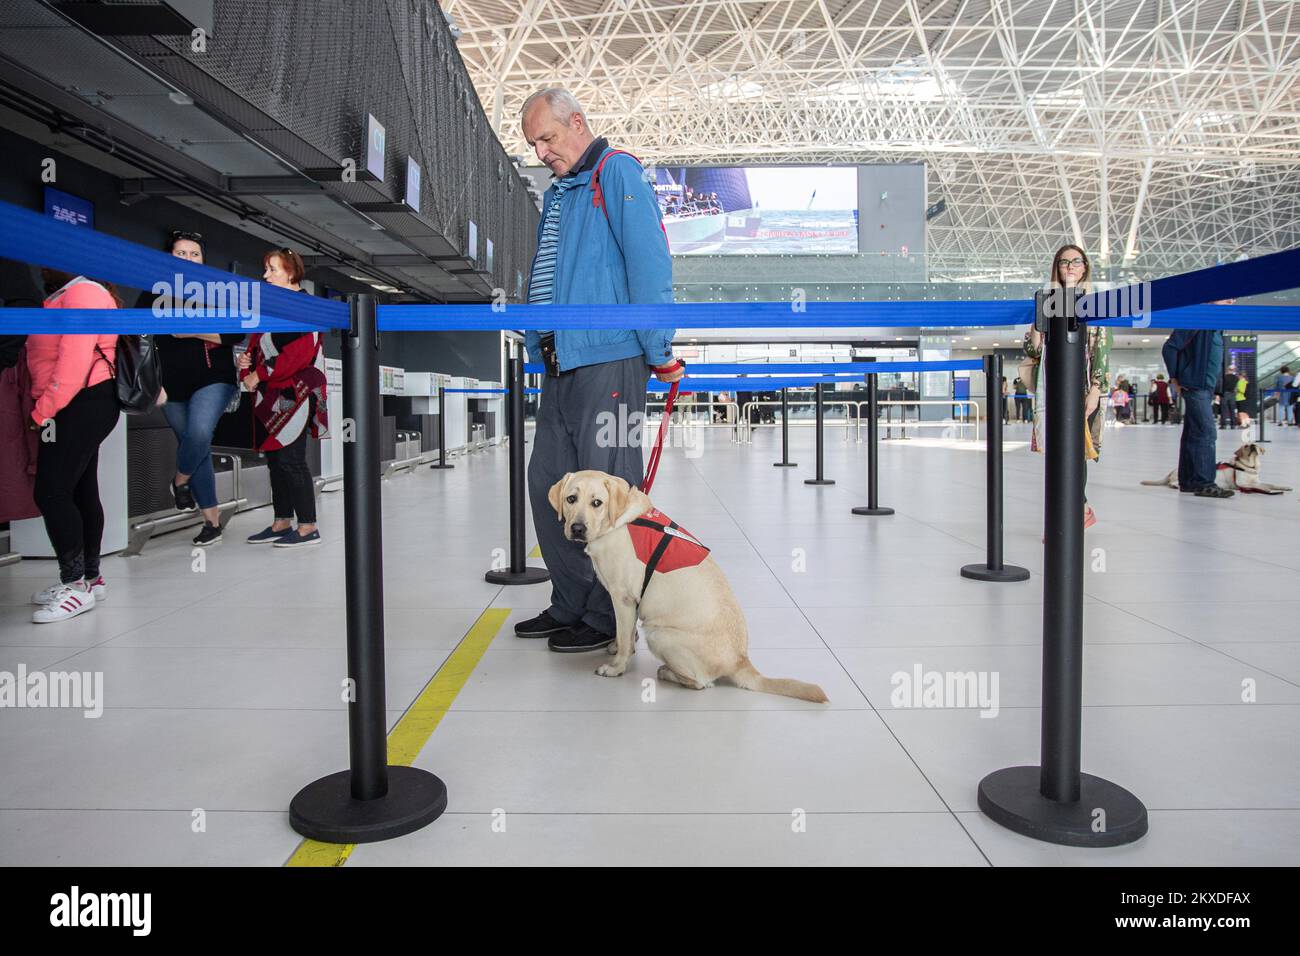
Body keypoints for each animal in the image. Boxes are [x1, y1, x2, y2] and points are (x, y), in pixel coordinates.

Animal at [543, 470, 826, 702]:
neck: (619, 521)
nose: (577, 528)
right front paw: (615, 645)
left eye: (597, 503)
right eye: (571, 499)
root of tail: (740, 660)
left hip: (659, 634)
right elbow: (623, 634)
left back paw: (667, 672)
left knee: (702, 683)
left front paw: (616, 666)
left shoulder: (623, 598)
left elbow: (624, 637)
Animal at [1138, 444, 1289, 496]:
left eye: (1255, 444)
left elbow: (1270, 484)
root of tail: (1171, 471)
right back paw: (1176, 486)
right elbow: (1261, 486)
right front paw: (1267, 490)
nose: (1252, 445)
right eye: (1246, 446)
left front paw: (1284, 487)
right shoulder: (1243, 483)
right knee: (1174, 483)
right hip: (1180, 478)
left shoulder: (1256, 480)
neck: (1250, 466)